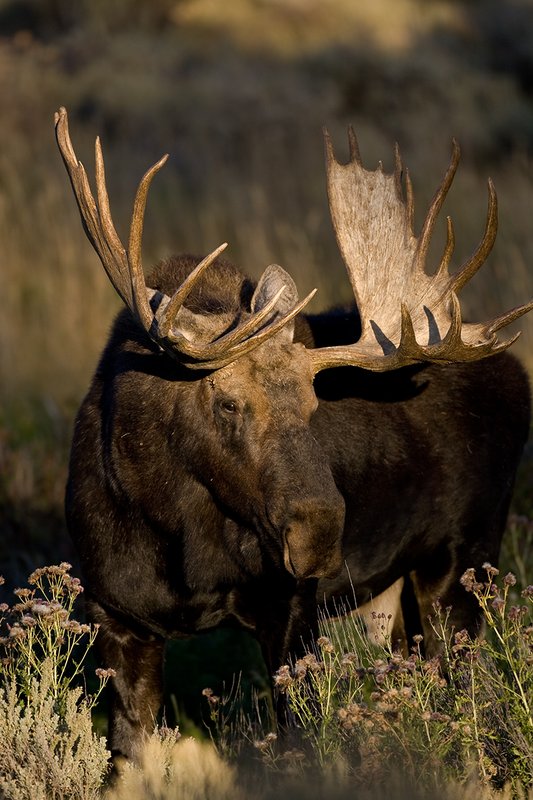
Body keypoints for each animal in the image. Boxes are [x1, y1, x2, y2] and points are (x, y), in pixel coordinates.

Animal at [55, 107, 532, 764]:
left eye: (314, 403)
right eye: (227, 403)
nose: (320, 533)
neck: (175, 537)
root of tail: (516, 373)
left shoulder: (292, 609)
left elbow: (300, 745)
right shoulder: (115, 614)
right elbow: (125, 754)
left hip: (461, 565)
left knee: (465, 689)